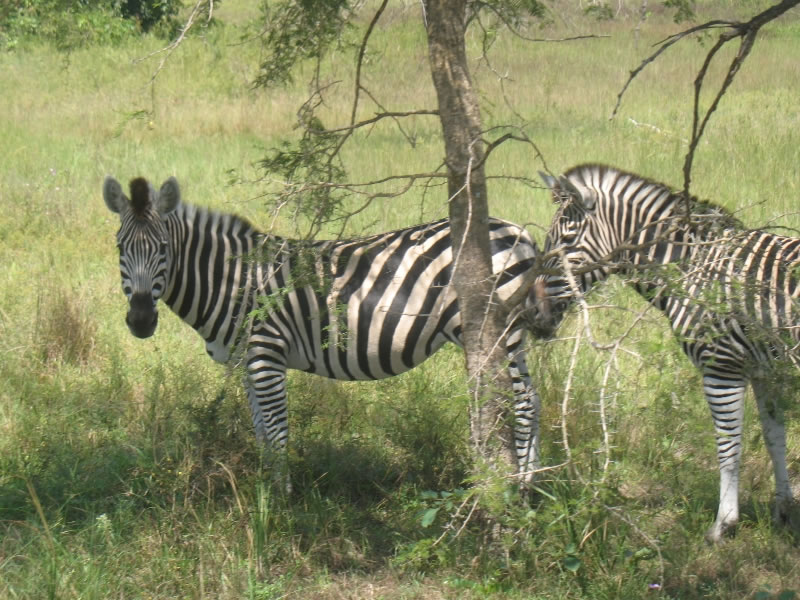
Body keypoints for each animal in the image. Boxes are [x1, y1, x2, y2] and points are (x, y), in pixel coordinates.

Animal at [103, 173, 544, 488]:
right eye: (120, 248)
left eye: (163, 249)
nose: (140, 320)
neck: (231, 281)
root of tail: (517, 231)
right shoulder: (248, 362)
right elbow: (260, 432)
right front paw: (264, 492)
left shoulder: (266, 354)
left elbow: (277, 432)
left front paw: (278, 509)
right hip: (509, 335)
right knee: (532, 399)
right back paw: (535, 484)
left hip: (501, 329)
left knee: (521, 403)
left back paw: (519, 490)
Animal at [528, 164, 800, 544]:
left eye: (565, 241)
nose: (531, 315)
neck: (690, 266)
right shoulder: (765, 372)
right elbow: (776, 438)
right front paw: (784, 511)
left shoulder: (722, 367)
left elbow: (728, 446)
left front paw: (723, 524)